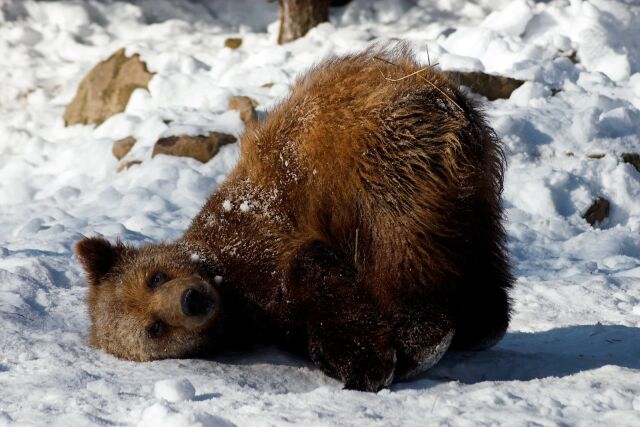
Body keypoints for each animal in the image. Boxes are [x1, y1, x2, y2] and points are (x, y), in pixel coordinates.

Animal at [75, 46, 516, 392]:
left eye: (156, 277)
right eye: (154, 328)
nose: (192, 299)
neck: (230, 293)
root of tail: (443, 92)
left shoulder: (260, 233)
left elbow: (315, 276)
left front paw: (367, 364)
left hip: (380, 162)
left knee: (398, 247)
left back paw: (424, 333)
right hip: (461, 186)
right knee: (472, 251)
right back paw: (478, 323)